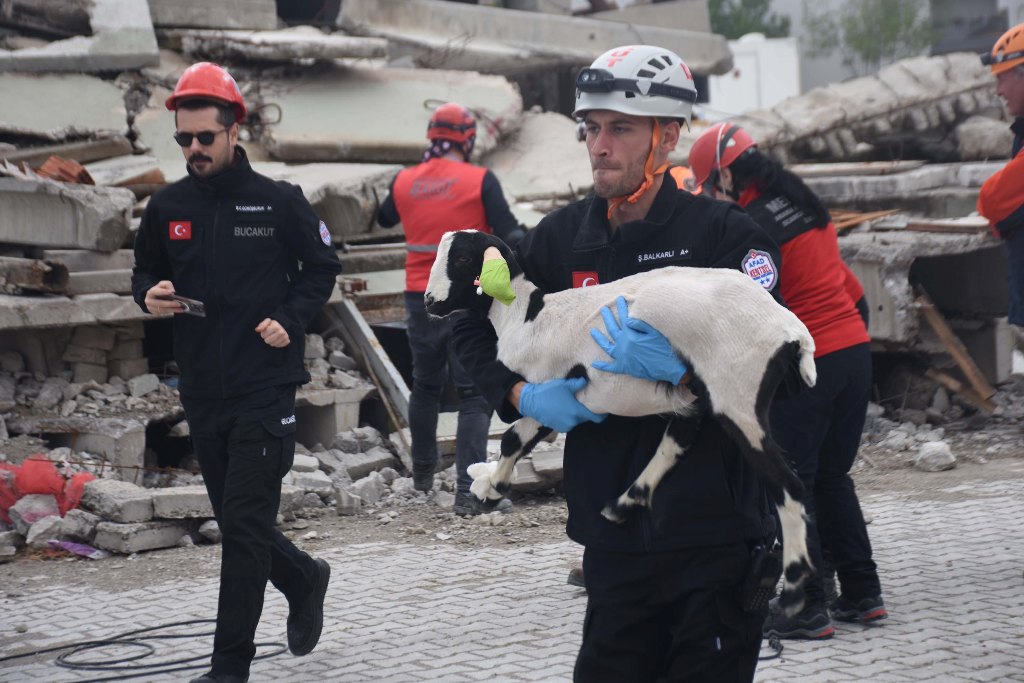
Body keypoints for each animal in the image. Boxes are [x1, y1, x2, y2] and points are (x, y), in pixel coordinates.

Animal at [423, 229, 815, 614]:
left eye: (462, 258)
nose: (428, 302)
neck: (529, 317)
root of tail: (792, 332)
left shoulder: (552, 389)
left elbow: (513, 439)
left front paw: (490, 491)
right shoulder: (553, 400)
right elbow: (516, 439)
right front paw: (485, 485)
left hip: (737, 394)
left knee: (789, 485)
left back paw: (795, 589)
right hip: (699, 394)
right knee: (678, 442)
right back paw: (623, 504)